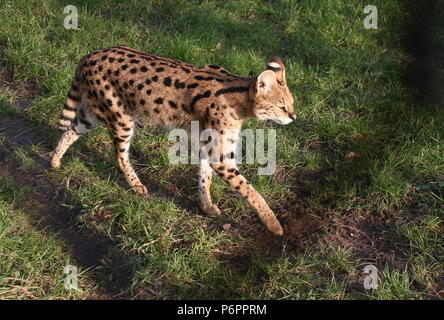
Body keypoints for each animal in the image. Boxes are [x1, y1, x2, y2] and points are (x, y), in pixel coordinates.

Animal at [51, 45, 294, 235]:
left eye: (291, 103)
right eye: (282, 106)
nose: (294, 116)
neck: (238, 97)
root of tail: (90, 55)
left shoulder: (207, 145)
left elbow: (205, 177)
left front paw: (206, 205)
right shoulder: (220, 155)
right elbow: (249, 190)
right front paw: (274, 224)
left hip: (95, 114)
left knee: (71, 130)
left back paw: (55, 160)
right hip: (121, 118)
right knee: (120, 156)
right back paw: (136, 184)